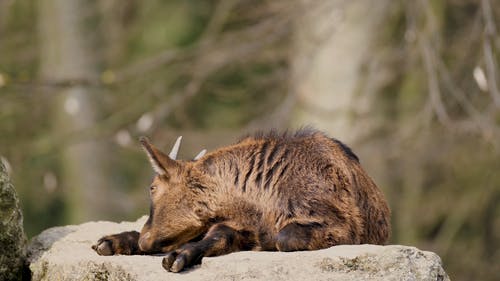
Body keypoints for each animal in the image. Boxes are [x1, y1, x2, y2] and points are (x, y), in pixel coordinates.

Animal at [93, 129, 390, 272]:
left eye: (152, 187)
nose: (146, 238)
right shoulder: (236, 224)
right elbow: (217, 237)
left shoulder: (341, 227)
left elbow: (282, 238)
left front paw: (178, 257)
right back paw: (111, 241)